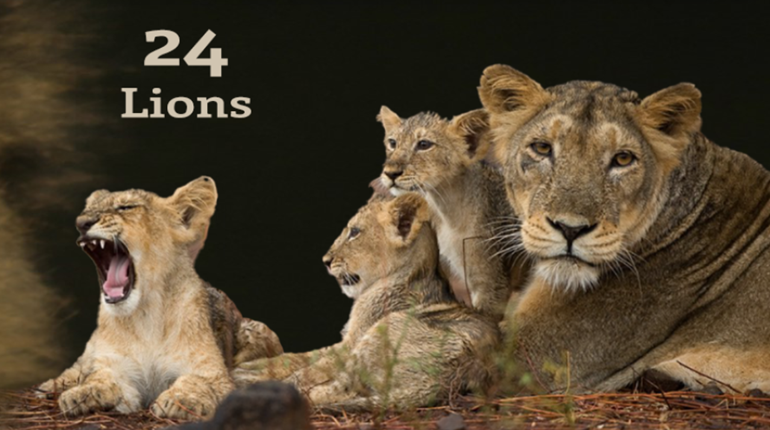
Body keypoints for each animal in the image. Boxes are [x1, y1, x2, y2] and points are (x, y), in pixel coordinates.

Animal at [36, 177, 283, 419]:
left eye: (126, 207)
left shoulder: (213, 372)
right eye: (86, 210)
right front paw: (82, 393)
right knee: (78, 366)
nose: (82, 222)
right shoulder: (117, 367)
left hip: (259, 330)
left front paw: (181, 400)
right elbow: (101, 376)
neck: (146, 314)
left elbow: (197, 380)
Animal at [234, 193, 500, 410]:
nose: (326, 261)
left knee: (336, 388)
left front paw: (248, 374)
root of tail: (447, 378)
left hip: (380, 334)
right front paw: (251, 367)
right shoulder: (347, 339)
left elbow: (307, 366)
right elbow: (297, 357)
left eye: (354, 232)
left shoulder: (352, 342)